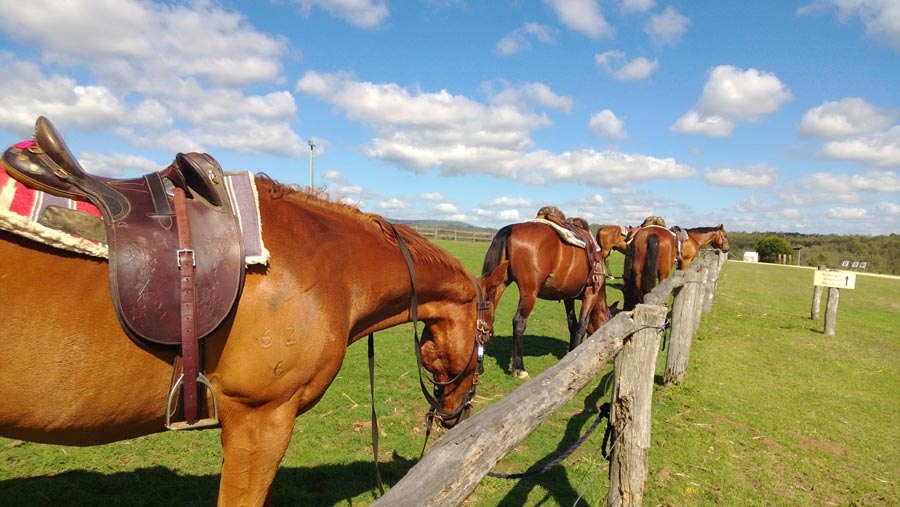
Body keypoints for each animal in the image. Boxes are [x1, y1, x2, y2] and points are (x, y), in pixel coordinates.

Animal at [478, 223, 612, 380]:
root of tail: (511, 228)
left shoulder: (568, 297)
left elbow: (572, 324)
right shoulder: (591, 294)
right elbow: (581, 326)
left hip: (498, 283)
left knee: (486, 320)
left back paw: (479, 368)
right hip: (529, 292)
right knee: (519, 322)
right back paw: (519, 369)